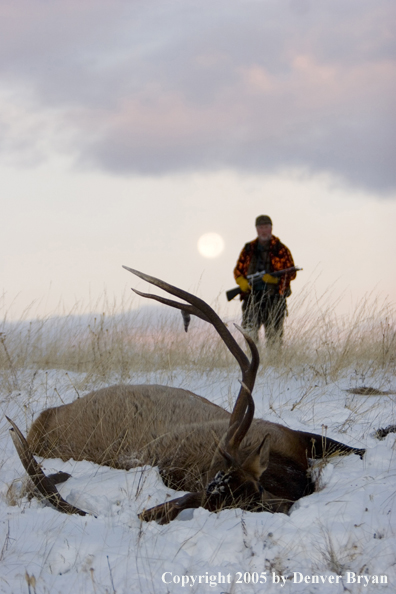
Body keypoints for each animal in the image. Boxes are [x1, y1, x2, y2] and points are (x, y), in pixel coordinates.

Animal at [6, 266, 366, 520]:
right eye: (244, 505)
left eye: (256, 489)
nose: (282, 505)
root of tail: (40, 424)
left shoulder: (290, 435)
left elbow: (358, 449)